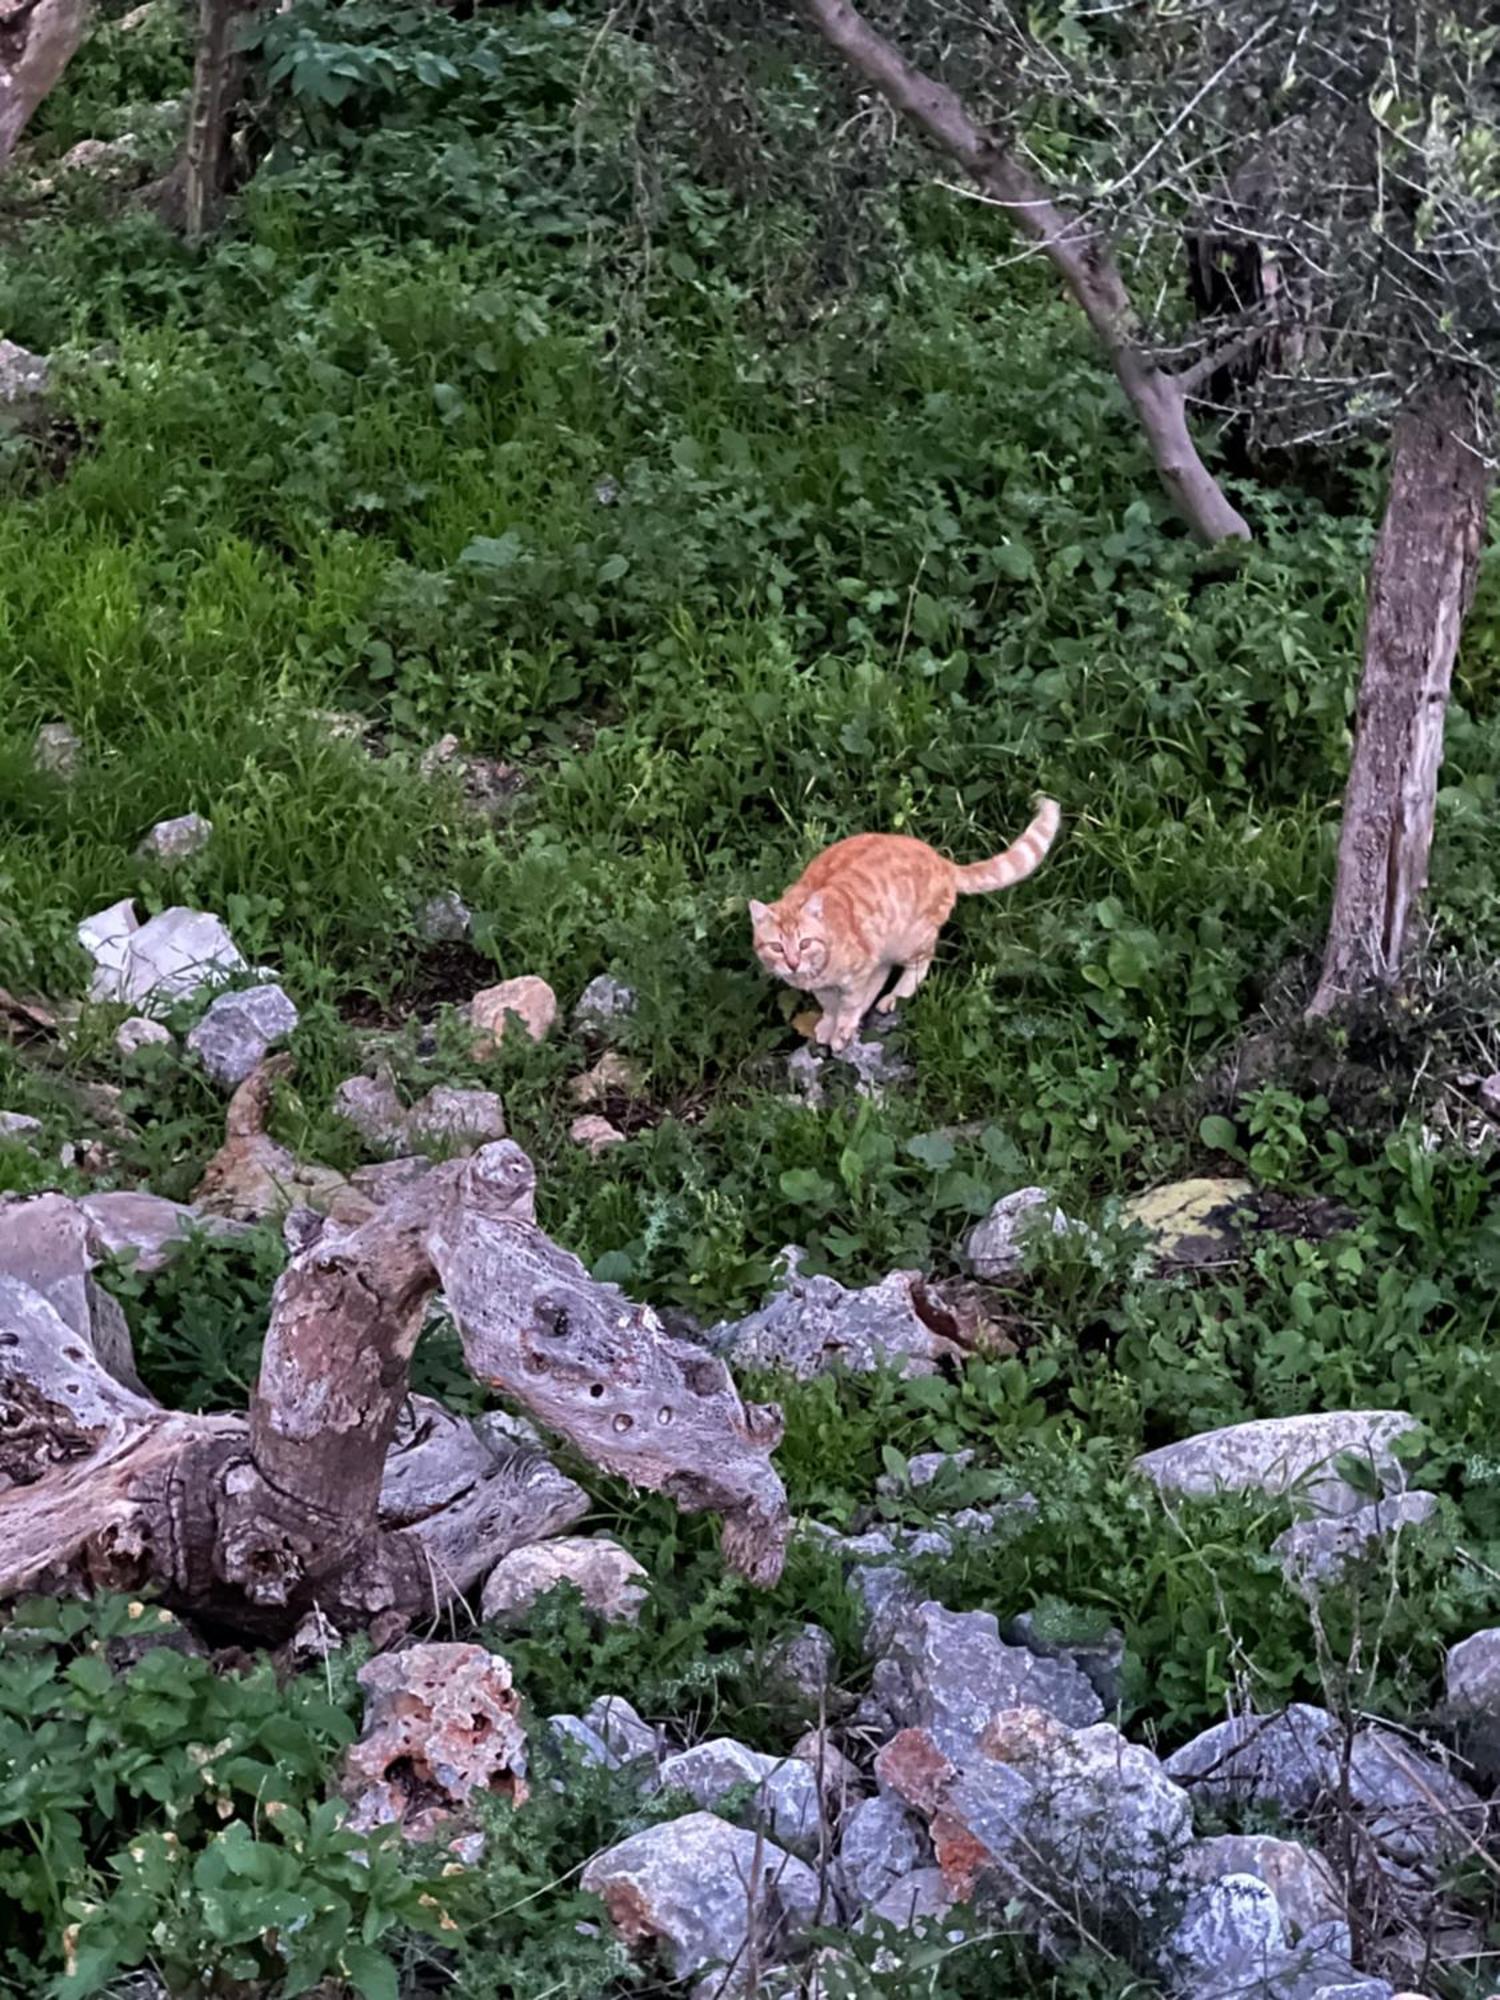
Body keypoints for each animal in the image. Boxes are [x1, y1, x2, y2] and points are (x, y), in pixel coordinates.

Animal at [748, 796, 1056, 1056]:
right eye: (777, 947)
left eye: (804, 943)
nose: (792, 963)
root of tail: (942, 862)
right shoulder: (827, 984)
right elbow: (831, 1004)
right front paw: (829, 1022)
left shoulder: (858, 971)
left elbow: (848, 1004)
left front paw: (842, 1028)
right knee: (883, 972)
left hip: (910, 939)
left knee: (919, 963)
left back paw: (895, 996)